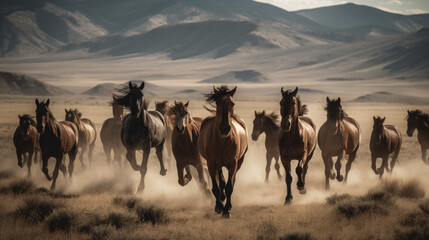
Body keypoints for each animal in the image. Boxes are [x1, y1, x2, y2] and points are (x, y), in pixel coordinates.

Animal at [197, 86, 247, 218]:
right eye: (218, 103)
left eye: (232, 103)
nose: (225, 128)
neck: (222, 141)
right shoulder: (211, 165)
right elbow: (216, 188)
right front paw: (219, 207)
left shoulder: (233, 164)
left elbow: (229, 186)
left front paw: (227, 209)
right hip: (218, 165)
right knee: (220, 181)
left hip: (239, 163)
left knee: (231, 181)